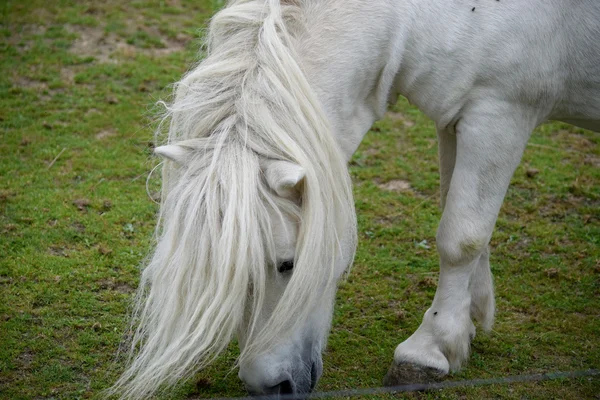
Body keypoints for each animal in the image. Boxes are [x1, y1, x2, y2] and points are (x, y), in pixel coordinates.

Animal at [110, 0, 596, 396]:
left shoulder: (499, 112)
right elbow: (460, 212)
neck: (432, 14)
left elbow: (461, 238)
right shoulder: (456, 119)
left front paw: (429, 351)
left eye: (287, 264)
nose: (269, 388)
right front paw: (469, 323)